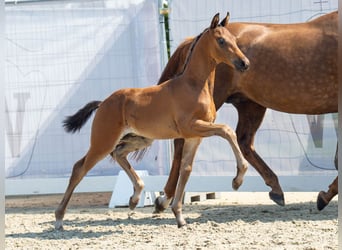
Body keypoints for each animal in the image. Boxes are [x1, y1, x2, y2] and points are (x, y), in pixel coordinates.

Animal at [55, 12, 248, 229]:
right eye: (221, 40)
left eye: (235, 40)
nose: (244, 63)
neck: (194, 86)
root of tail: (103, 102)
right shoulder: (192, 127)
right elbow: (227, 130)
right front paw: (237, 179)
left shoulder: (194, 136)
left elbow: (186, 169)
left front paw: (179, 217)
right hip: (103, 141)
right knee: (80, 168)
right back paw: (59, 219)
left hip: (139, 139)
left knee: (118, 154)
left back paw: (134, 198)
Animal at [115, 11, 336, 211]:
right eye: (221, 41)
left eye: (233, 42)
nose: (245, 63)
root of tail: (191, 39)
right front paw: (325, 196)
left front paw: (326, 195)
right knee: (183, 142)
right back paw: (165, 199)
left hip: (250, 104)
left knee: (244, 141)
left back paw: (273, 188)